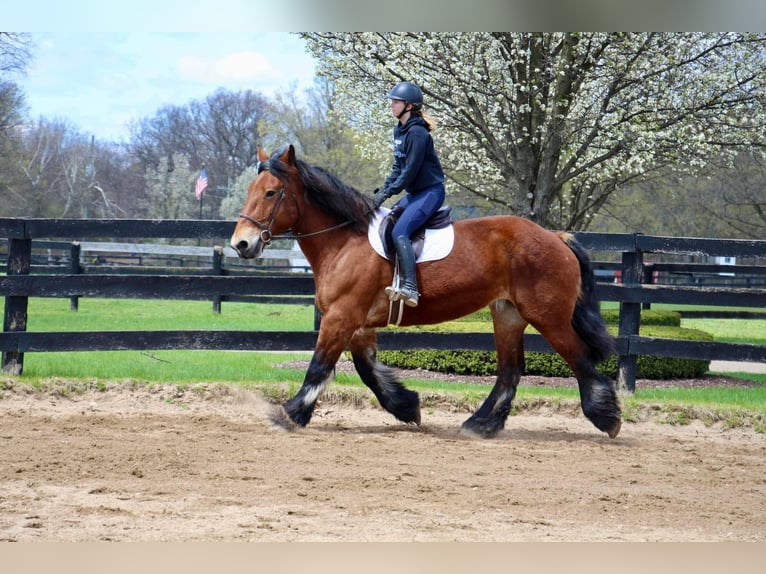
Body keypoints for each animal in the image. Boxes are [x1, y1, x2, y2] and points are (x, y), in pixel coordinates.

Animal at [230, 145, 624, 440]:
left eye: (270, 192)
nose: (241, 244)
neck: (344, 240)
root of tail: (555, 236)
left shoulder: (341, 317)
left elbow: (318, 367)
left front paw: (290, 414)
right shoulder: (357, 323)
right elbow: (367, 370)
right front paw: (407, 406)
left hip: (547, 316)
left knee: (578, 357)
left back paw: (606, 417)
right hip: (507, 314)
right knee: (510, 371)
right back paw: (482, 424)